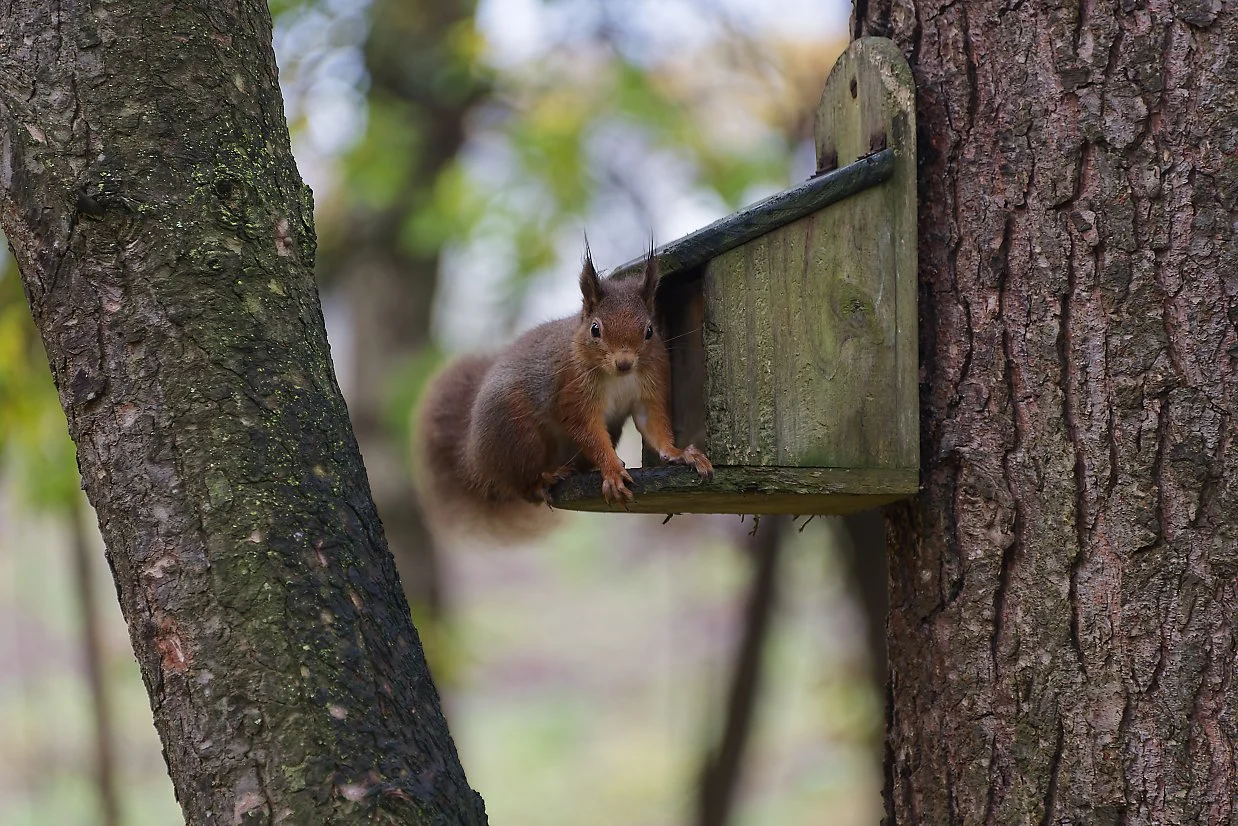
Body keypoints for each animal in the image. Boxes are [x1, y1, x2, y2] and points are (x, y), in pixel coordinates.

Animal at [415, 245, 714, 542]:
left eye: (649, 331)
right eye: (595, 329)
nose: (624, 363)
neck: (618, 377)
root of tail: (474, 460)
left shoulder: (649, 388)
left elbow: (652, 425)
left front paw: (680, 453)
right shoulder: (572, 390)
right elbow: (586, 430)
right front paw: (612, 471)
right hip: (519, 435)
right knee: (524, 486)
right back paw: (545, 478)